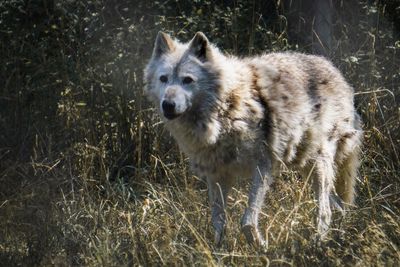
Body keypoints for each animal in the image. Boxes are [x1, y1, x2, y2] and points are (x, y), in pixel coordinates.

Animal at [143, 31, 362, 247]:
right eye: (163, 78)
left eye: (187, 79)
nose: (168, 104)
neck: (225, 111)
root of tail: (335, 71)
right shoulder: (217, 175)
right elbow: (218, 222)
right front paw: (219, 250)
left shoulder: (263, 167)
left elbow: (247, 221)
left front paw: (261, 246)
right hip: (306, 166)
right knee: (338, 205)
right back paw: (337, 237)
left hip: (318, 166)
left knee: (325, 211)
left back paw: (318, 244)